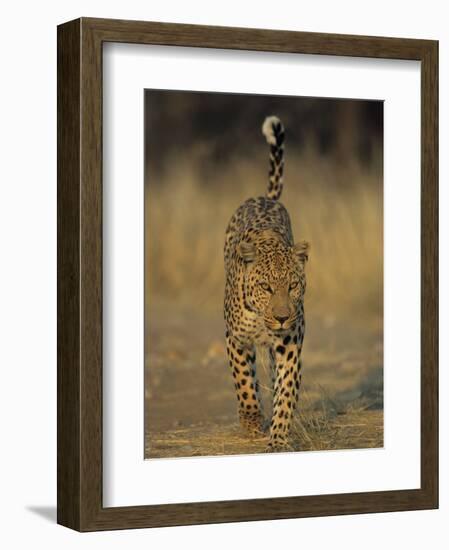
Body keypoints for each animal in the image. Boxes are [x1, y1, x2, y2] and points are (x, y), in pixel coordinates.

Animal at [223, 116, 308, 452]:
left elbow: (285, 392)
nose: (283, 317)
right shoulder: (235, 338)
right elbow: (244, 382)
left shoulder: (290, 344)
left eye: (293, 286)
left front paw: (279, 437)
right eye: (266, 288)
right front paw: (250, 422)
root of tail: (265, 198)